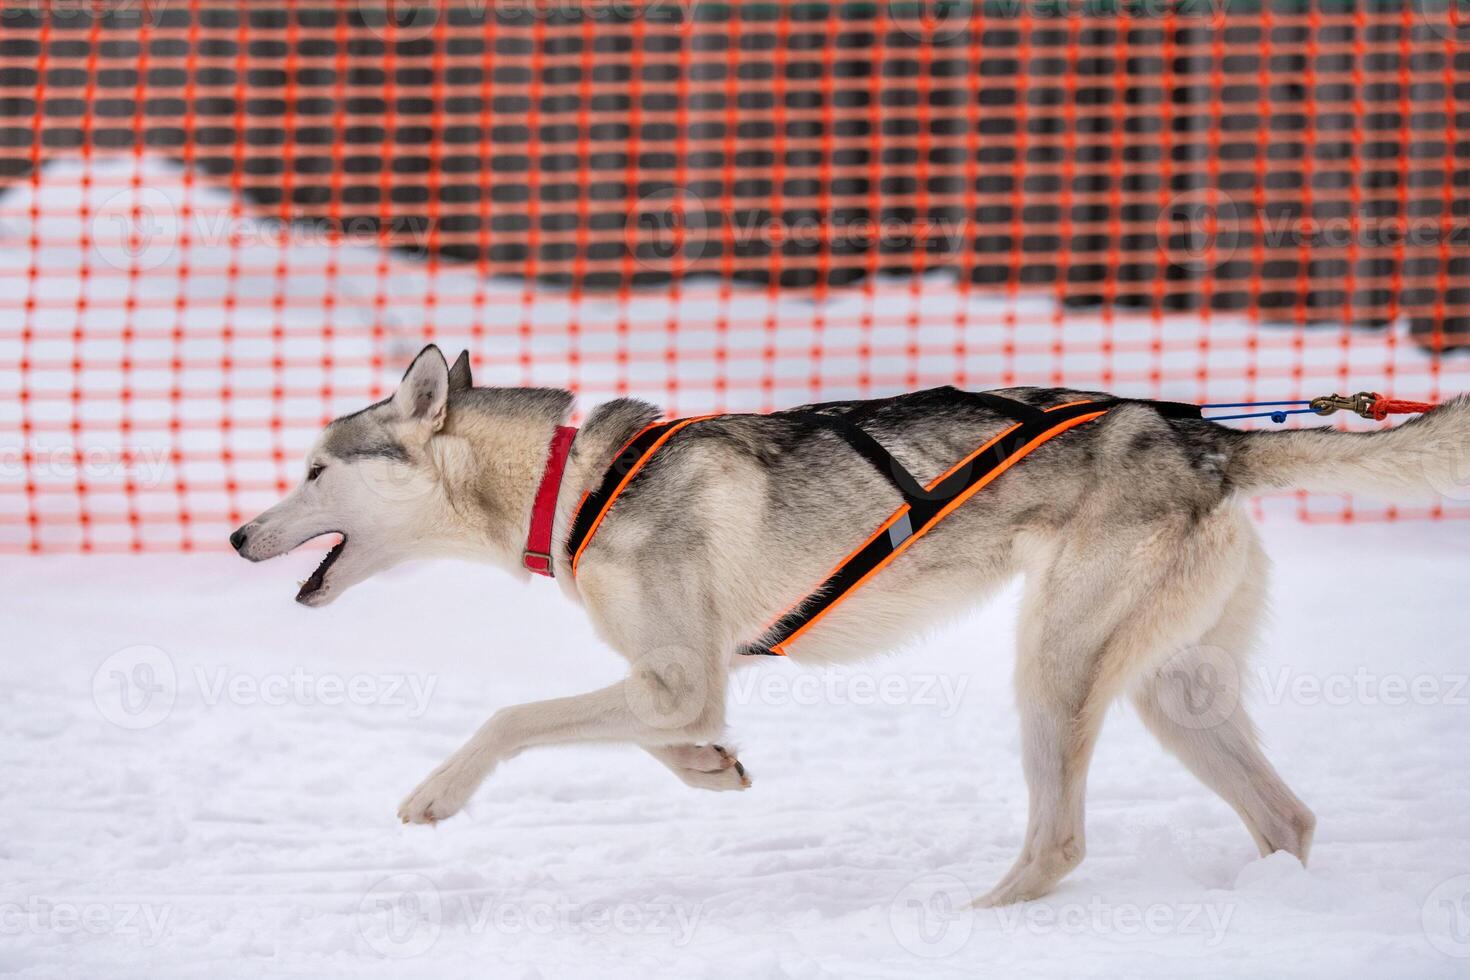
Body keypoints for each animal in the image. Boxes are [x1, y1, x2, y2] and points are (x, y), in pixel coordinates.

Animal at [232, 348, 1470, 910]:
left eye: (316, 468)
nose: (241, 533)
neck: (565, 485)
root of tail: (1210, 438)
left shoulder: (677, 673)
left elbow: (511, 716)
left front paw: (436, 792)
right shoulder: (680, 680)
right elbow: (661, 737)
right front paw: (711, 768)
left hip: (1057, 666)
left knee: (1062, 839)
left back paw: (986, 919)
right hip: (1176, 690)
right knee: (1288, 815)